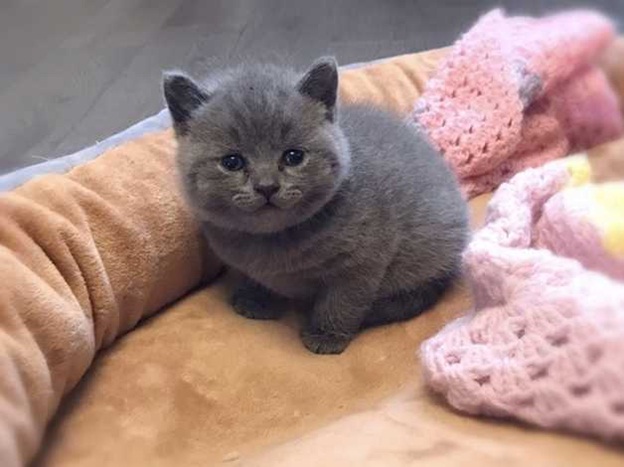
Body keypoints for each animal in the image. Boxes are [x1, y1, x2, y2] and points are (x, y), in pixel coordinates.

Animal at [163, 57, 469, 355]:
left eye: (294, 156)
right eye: (232, 162)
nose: (266, 186)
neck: (273, 244)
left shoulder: (362, 262)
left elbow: (342, 300)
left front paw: (326, 335)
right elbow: (257, 278)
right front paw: (256, 299)